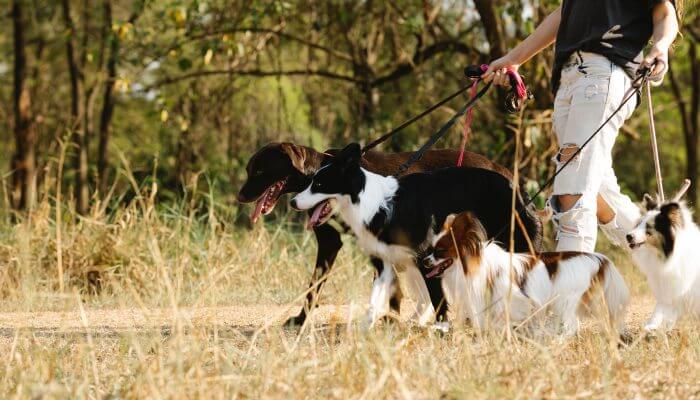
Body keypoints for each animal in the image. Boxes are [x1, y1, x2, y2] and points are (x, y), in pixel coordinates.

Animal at [424, 211, 632, 336]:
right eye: (431, 249)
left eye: (440, 252)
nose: (425, 261)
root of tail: (598, 258)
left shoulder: (518, 299)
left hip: (566, 300)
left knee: (571, 324)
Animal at [624, 188, 700, 332]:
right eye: (639, 223)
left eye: (649, 227)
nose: (628, 236)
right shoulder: (667, 286)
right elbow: (661, 307)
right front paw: (652, 325)